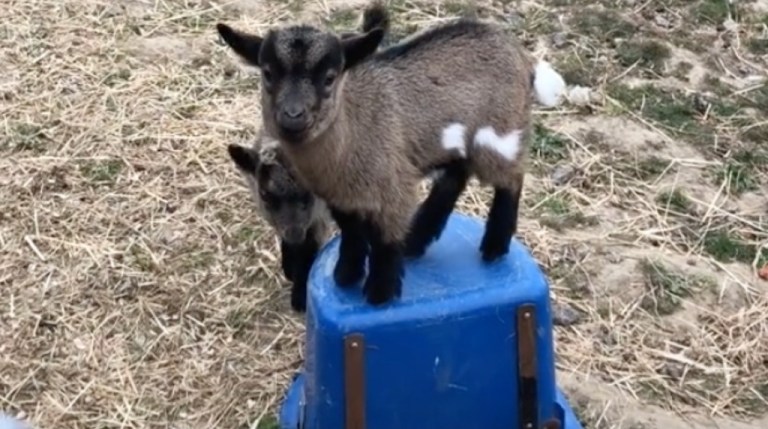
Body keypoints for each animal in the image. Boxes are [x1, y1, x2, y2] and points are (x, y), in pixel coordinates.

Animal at [216, 8, 564, 306]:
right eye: (267, 73)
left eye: (329, 77)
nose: (292, 116)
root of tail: (520, 53)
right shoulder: (339, 197)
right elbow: (352, 231)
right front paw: (346, 275)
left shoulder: (393, 187)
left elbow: (385, 238)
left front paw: (380, 293)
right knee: (456, 174)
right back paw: (418, 239)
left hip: (500, 133)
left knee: (511, 178)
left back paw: (493, 246)